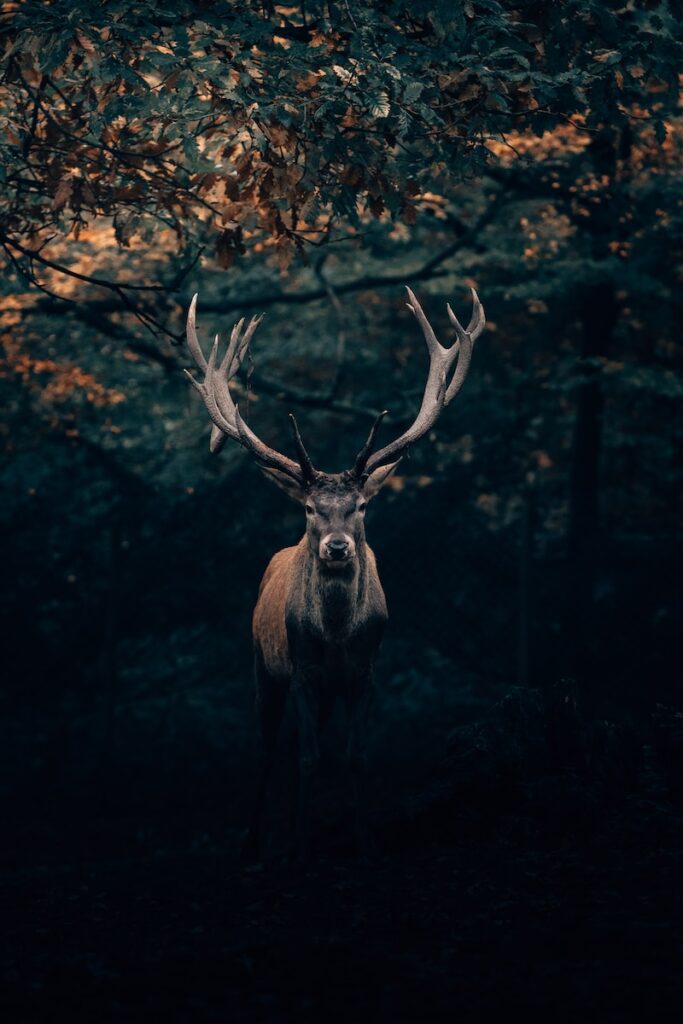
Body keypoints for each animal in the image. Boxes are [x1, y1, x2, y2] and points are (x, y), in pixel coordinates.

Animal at [184, 286, 485, 862]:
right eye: (309, 508)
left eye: (362, 506)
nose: (338, 547)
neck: (339, 636)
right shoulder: (302, 670)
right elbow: (307, 757)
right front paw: (299, 846)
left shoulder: (365, 673)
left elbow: (354, 756)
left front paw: (362, 842)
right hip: (262, 667)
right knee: (269, 747)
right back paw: (254, 844)